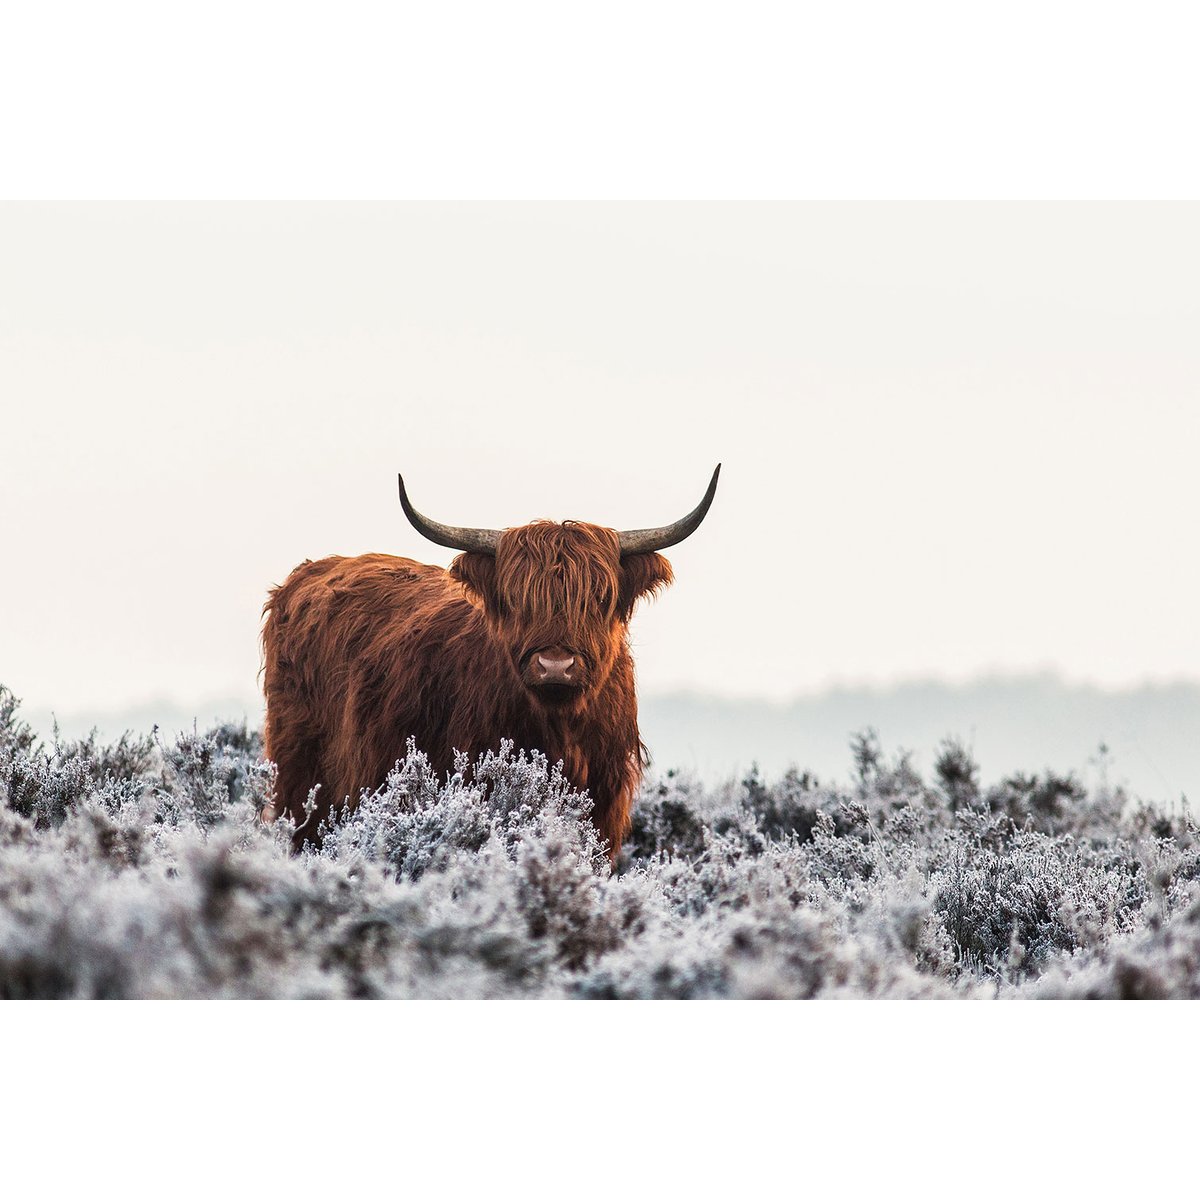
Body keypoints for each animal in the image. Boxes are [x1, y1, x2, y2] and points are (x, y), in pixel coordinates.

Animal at [260, 466, 720, 860]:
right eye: (516, 598)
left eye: (600, 597)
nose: (555, 665)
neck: (559, 727)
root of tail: (307, 574)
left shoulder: (604, 804)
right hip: (301, 775)